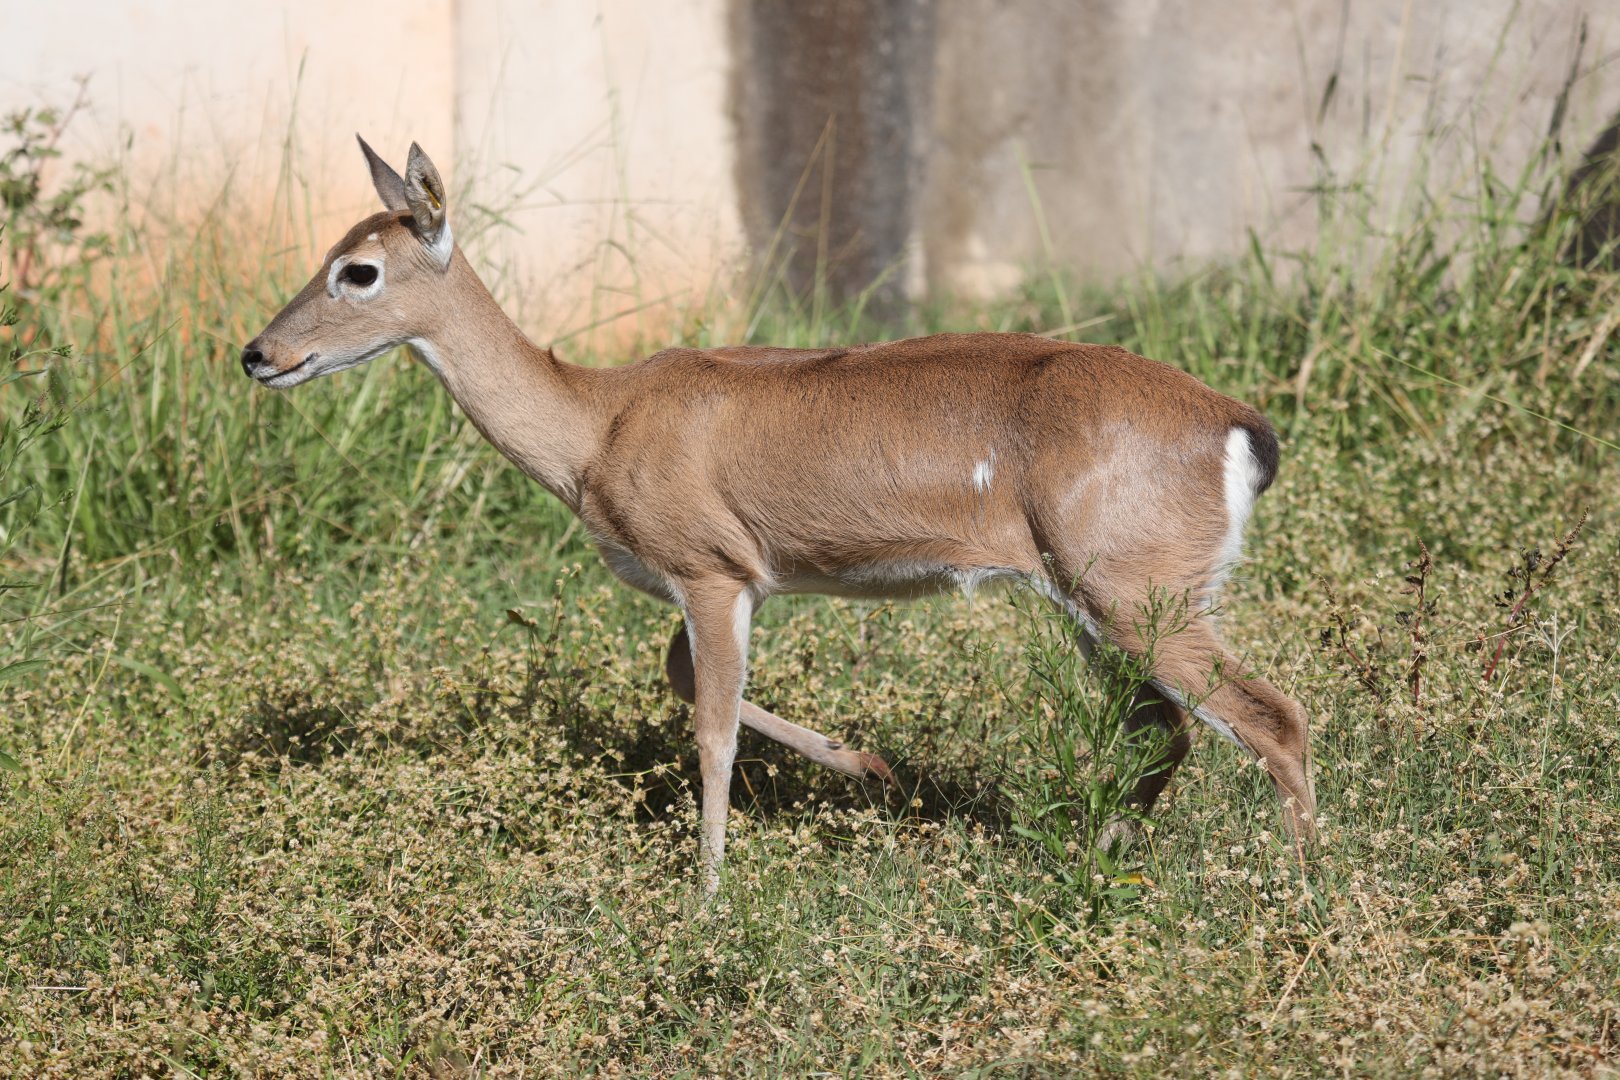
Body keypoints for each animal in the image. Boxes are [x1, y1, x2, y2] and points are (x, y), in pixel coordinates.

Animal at [242, 138, 1316, 896]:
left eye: (359, 272)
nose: (258, 353)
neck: (595, 428)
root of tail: (1244, 429)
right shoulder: (734, 580)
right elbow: (682, 681)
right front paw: (869, 765)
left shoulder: (710, 569)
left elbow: (710, 727)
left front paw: (707, 896)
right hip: (1097, 596)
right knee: (1167, 727)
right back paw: (1101, 859)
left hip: (1136, 585)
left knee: (1270, 716)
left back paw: (1299, 892)